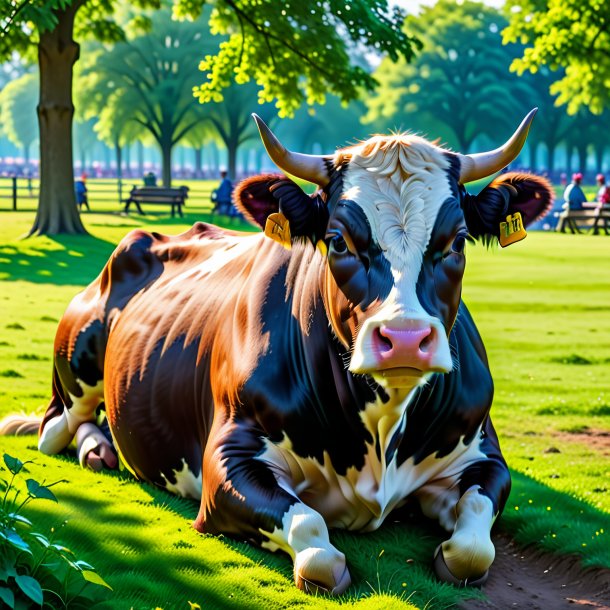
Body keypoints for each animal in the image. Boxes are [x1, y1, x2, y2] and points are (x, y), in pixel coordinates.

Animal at [0, 108, 552, 588]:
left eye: (457, 241)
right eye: (338, 240)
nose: (404, 339)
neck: (381, 426)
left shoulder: (483, 453)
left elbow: (472, 544)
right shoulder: (226, 460)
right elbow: (315, 540)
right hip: (75, 371)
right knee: (55, 429)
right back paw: (95, 448)